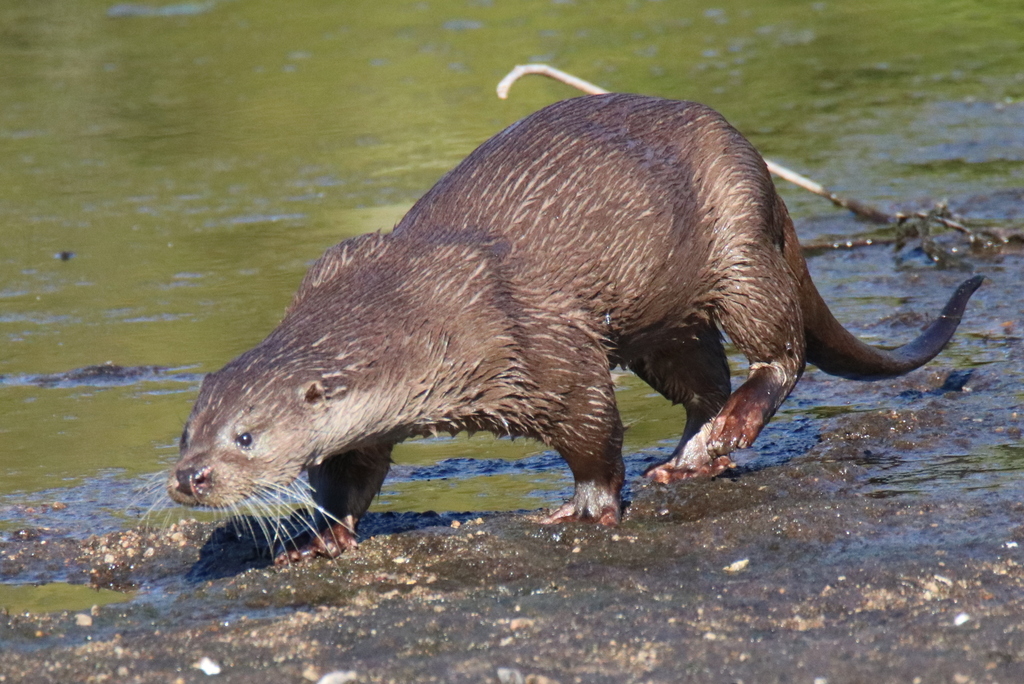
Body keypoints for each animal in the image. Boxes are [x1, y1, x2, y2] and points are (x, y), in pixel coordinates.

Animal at [167, 93, 983, 561]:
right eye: (186, 432)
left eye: (246, 437)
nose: (188, 477)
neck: (419, 313)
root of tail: (756, 159)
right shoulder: (370, 421)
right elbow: (348, 473)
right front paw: (317, 535)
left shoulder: (538, 344)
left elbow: (591, 430)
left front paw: (587, 510)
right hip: (659, 326)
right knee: (702, 380)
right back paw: (688, 459)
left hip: (741, 249)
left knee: (779, 354)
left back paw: (731, 430)